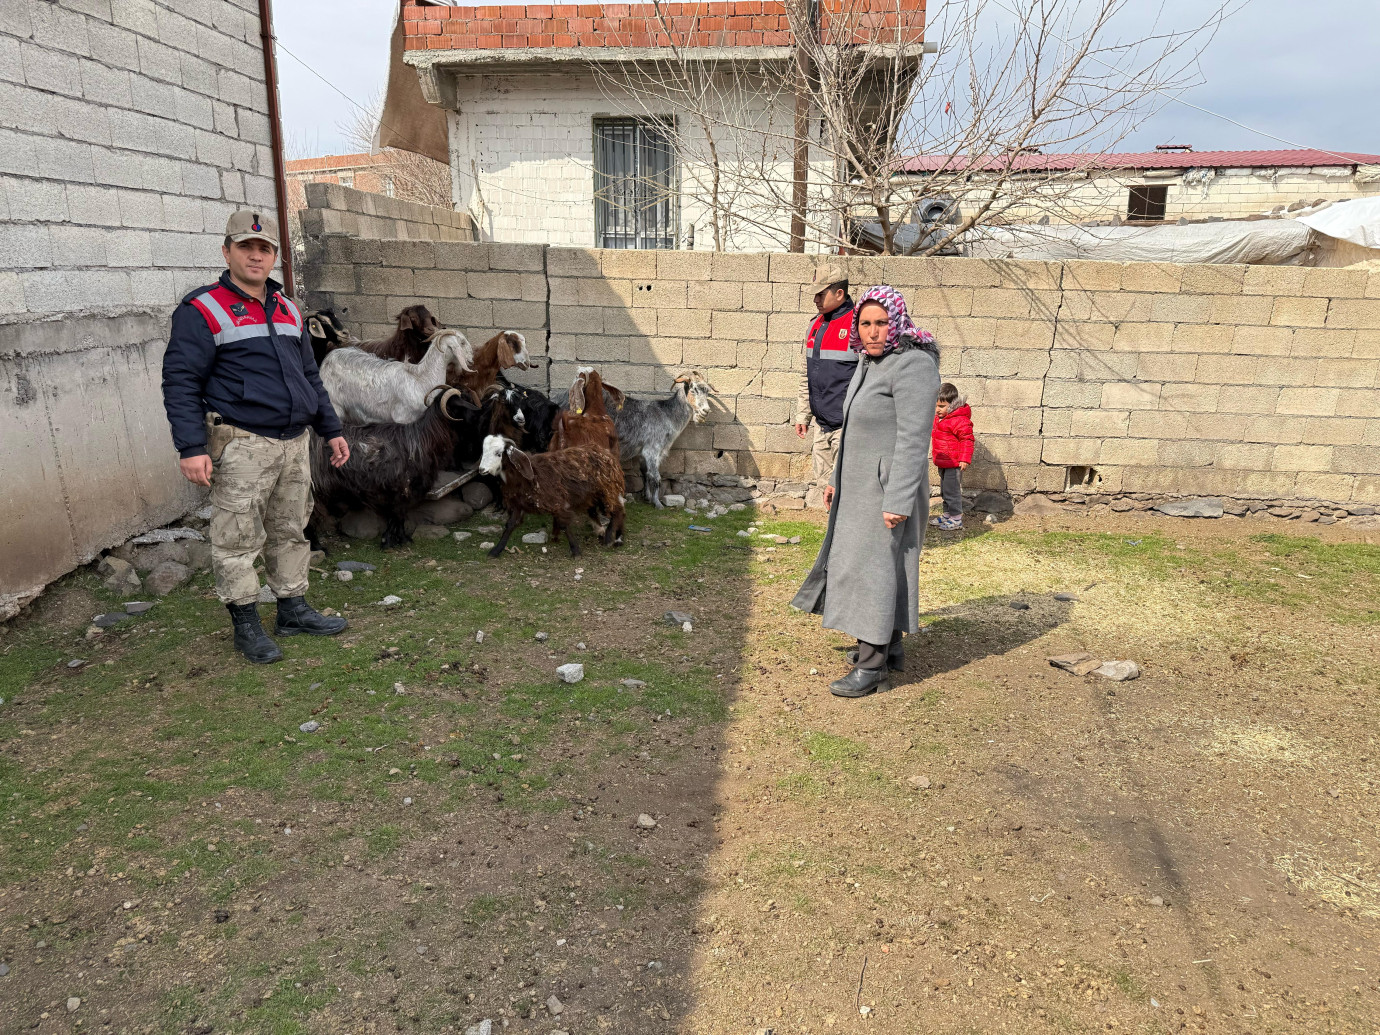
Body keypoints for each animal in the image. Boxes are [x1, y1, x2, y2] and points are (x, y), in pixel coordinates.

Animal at [310, 386, 477, 552]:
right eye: (458, 405)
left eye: (467, 399)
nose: (478, 412)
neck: (422, 439)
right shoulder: (401, 488)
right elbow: (398, 514)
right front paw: (392, 540)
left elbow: (398, 517)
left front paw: (398, 539)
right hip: (314, 488)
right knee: (310, 518)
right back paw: (318, 547)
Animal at [321, 329, 474, 422]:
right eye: (462, 342)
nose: (471, 359)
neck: (421, 378)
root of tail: (327, 359)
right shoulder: (402, 417)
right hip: (335, 406)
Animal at [477, 438, 623, 560]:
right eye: (484, 451)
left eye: (498, 453)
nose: (481, 469)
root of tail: (604, 452)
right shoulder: (518, 505)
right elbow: (510, 525)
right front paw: (495, 551)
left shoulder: (557, 503)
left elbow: (564, 524)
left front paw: (575, 551)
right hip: (593, 494)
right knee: (602, 510)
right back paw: (606, 533)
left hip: (607, 490)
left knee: (618, 510)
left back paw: (611, 538)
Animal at [557, 372, 712, 510]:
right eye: (693, 389)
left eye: (707, 391)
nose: (706, 410)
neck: (667, 414)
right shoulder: (652, 449)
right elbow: (655, 477)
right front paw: (658, 504)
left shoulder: (645, 453)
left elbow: (646, 473)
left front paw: (648, 497)